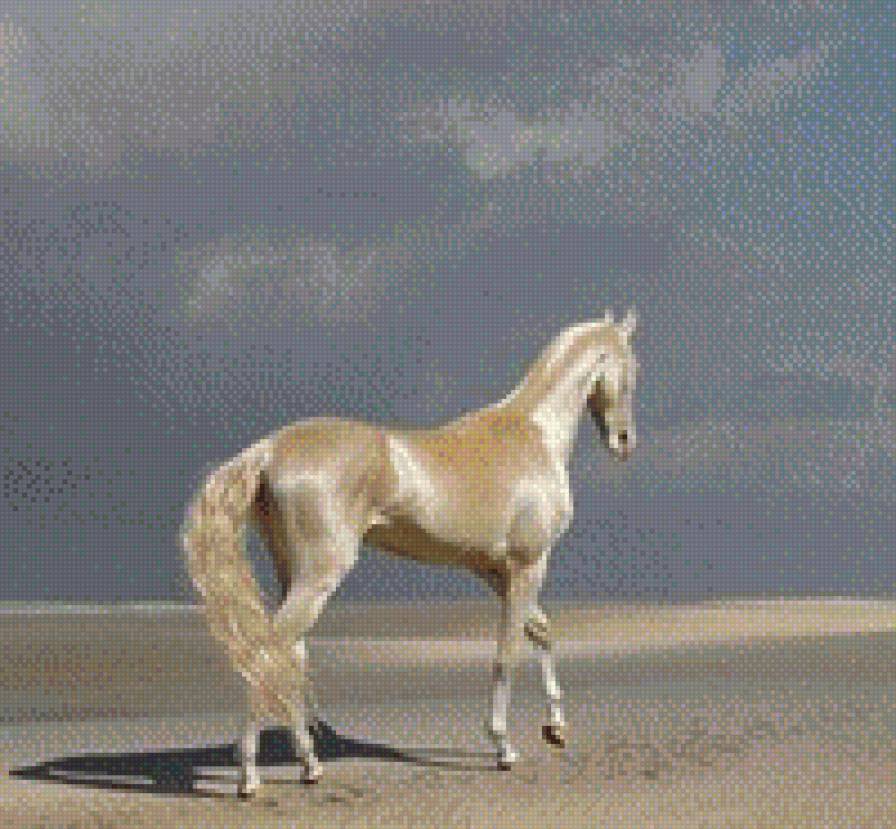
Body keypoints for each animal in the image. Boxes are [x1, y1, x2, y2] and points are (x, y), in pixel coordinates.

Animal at [182, 308, 638, 797]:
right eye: (631, 370)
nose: (625, 441)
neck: (533, 435)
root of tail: (270, 449)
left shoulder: (494, 569)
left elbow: (542, 631)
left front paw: (555, 727)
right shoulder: (528, 564)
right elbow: (508, 652)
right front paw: (503, 747)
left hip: (294, 575)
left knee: (289, 658)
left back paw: (310, 765)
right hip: (319, 576)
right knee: (267, 655)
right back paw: (249, 776)